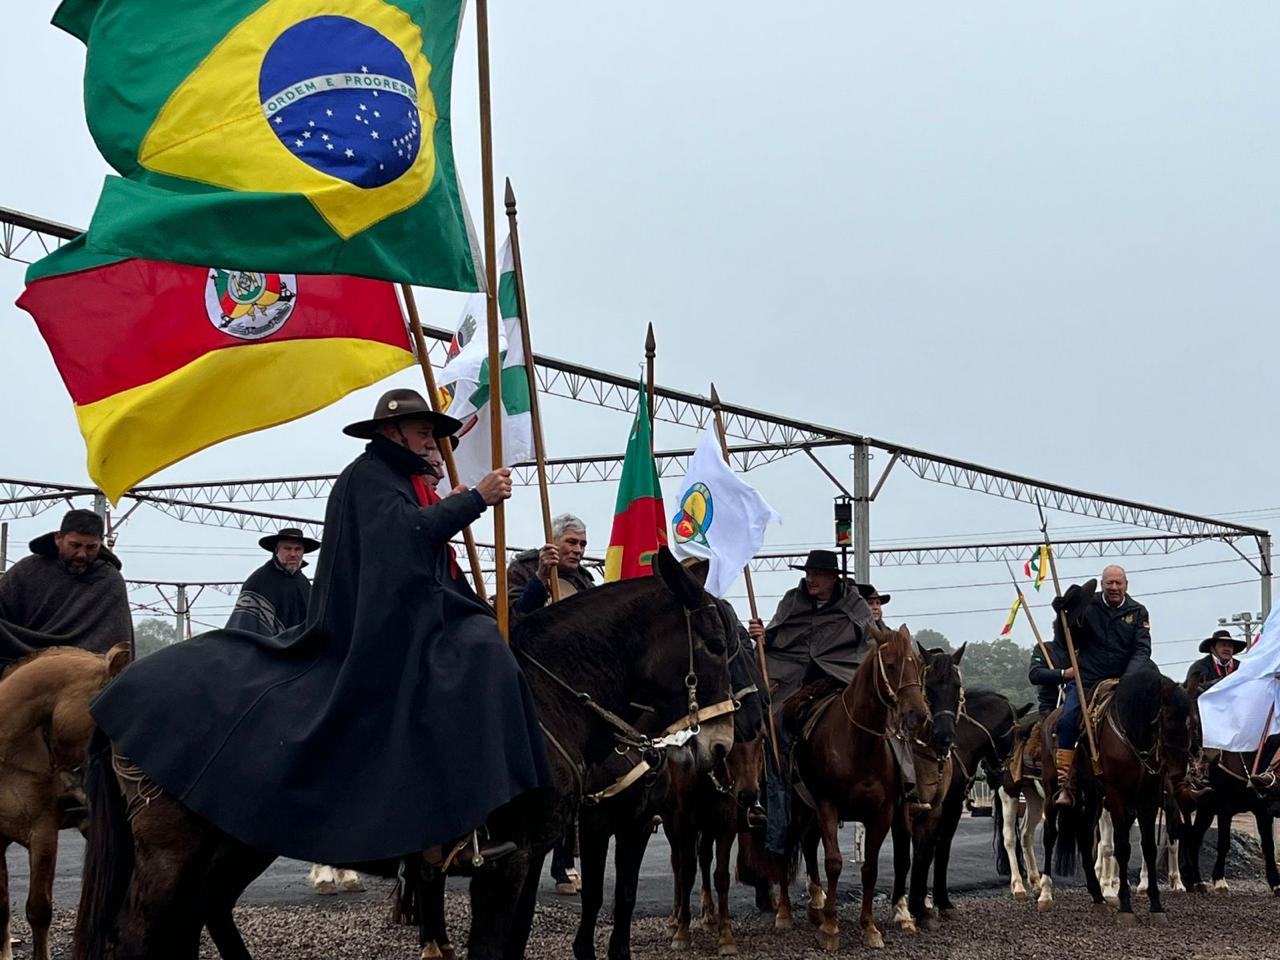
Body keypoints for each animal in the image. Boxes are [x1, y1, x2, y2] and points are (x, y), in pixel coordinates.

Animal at [73, 548, 738, 960]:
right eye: (713, 643)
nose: (722, 746)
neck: (546, 695)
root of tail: (115, 690)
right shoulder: (503, 863)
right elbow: (491, 947)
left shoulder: (526, 860)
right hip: (174, 849)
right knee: (140, 935)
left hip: (234, 843)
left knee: (201, 912)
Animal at [776, 623, 929, 951]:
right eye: (891, 665)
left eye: (917, 664)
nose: (917, 714)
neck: (858, 745)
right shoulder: (828, 805)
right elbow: (834, 862)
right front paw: (831, 928)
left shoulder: (881, 814)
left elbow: (869, 868)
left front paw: (869, 927)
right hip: (795, 806)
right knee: (785, 845)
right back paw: (784, 912)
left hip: (810, 812)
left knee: (808, 843)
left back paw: (816, 906)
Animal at [888, 644, 965, 933]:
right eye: (929, 687)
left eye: (956, 686)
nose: (945, 736)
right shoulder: (901, 812)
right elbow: (903, 859)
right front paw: (902, 911)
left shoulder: (934, 811)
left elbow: (925, 855)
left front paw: (920, 908)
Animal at [1038, 669, 1192, 924]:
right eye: (1168, 719)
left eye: (1190, 722)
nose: (1178, 773)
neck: (1134, 737)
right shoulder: (1117, 798)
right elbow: (1122, 848)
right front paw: (1125, 906)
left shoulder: (1148, 799)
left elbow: (1148, 848)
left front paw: (1156, 905)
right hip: (1052, 792)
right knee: (1050, 836)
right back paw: (1045, 894)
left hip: (1093, 797)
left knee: (1084, 835)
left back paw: (1097, 896)